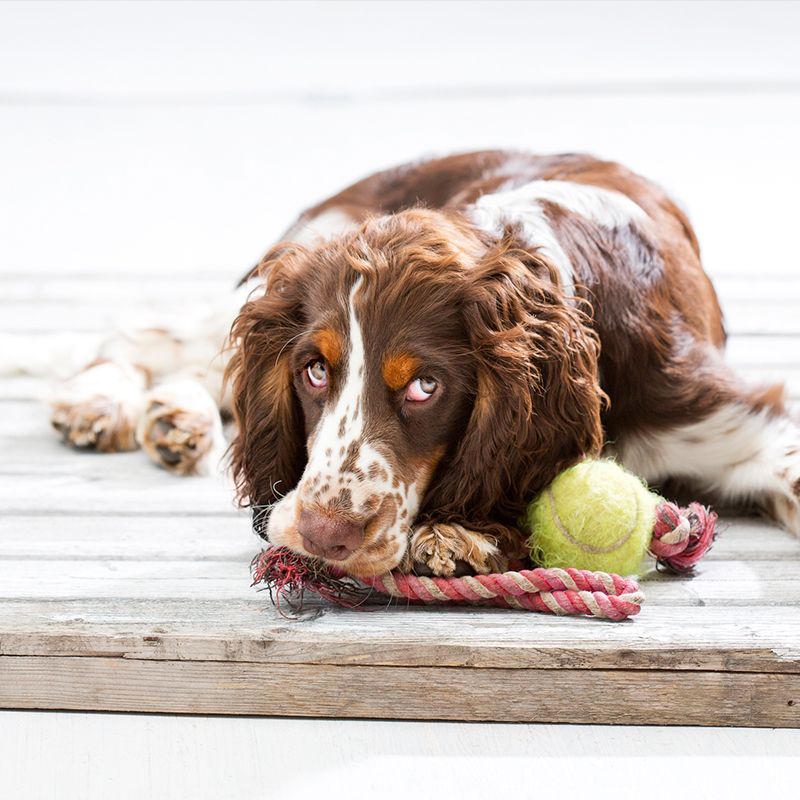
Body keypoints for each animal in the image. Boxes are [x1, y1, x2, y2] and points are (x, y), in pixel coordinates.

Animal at [29, 150, 800, 576]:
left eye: (426, 386)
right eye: (313, 371)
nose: (324, 535)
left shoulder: (731, 416)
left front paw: (459, 532)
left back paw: (172, 420)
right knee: (141, 336)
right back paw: (106, 402)